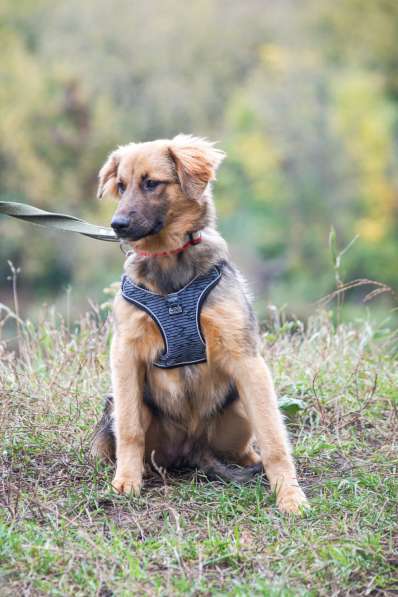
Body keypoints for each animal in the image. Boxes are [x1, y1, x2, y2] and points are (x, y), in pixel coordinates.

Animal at [92, 134, 308, 512]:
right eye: (120, 186)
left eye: (151, 183)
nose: (117, 225)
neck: (169, 264)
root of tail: (192, 448)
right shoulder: (126, 354)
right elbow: (130, 430)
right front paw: (126, 482)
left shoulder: (247, 359)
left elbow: (273, 436)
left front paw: (290, 495)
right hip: (116, 407)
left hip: (238, 404)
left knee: (247, 446)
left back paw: (252, 462)